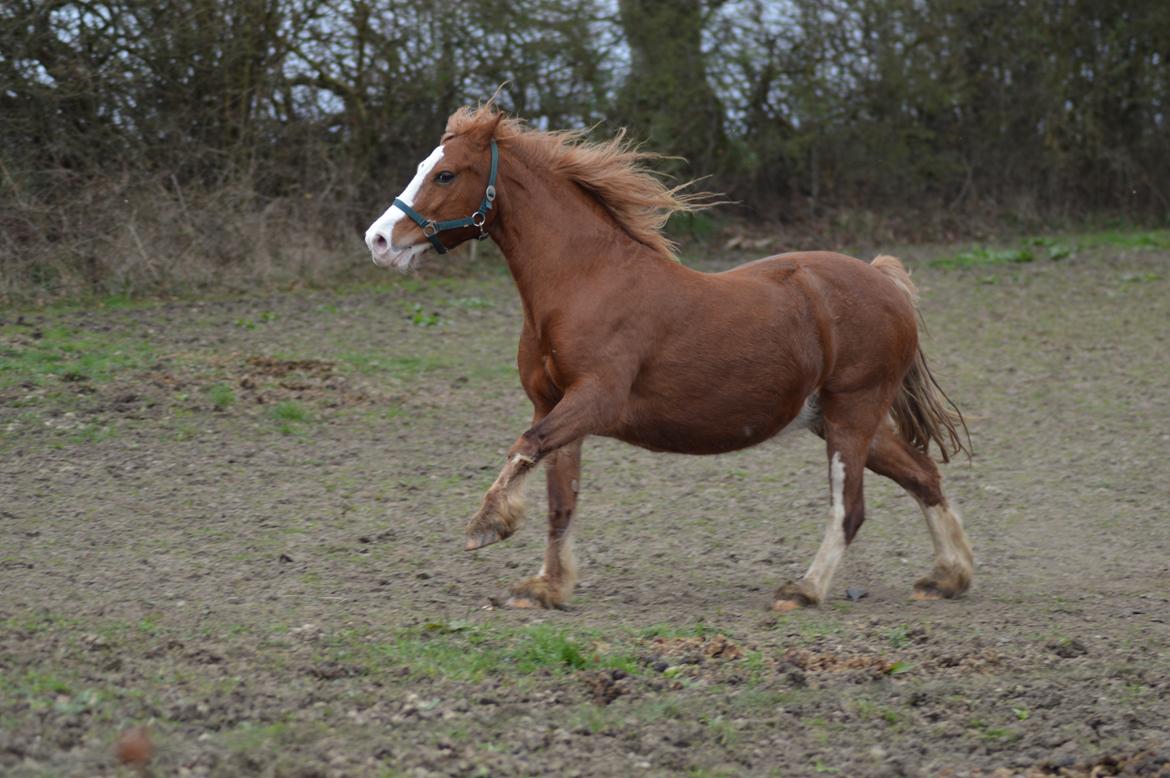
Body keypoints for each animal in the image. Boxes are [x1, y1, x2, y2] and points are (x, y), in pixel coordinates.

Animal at [367, 104, 978, 613]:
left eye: (446, 174)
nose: (378, 240)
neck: (582, 282)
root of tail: (884, 280)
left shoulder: (594, 400)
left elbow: (525, 447)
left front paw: (487, 525)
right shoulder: (554, 404)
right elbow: (560, 497)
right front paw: (547, 587)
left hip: (852, 414)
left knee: (849, 507)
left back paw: (804, 590)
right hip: (837, 418)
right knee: (923, 475)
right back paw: (948, 577)